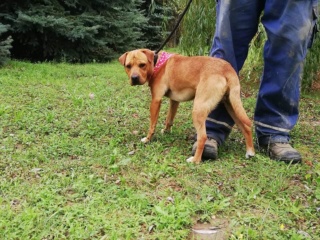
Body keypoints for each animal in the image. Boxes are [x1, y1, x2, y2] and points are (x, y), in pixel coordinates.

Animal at [118, 49, 255, 164]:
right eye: (128, 66)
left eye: (142, 65)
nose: (134, 78)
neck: (157, 63)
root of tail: (227, 69)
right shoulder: (174, 101)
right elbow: (169, 119)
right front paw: (166, 131)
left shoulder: (156, 101)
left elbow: (152, 125)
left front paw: (147, 139)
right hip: (232, 105)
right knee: (246, 127)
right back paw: (250, 151)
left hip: (198, 110)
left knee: (203, 137)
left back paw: (195, 160)